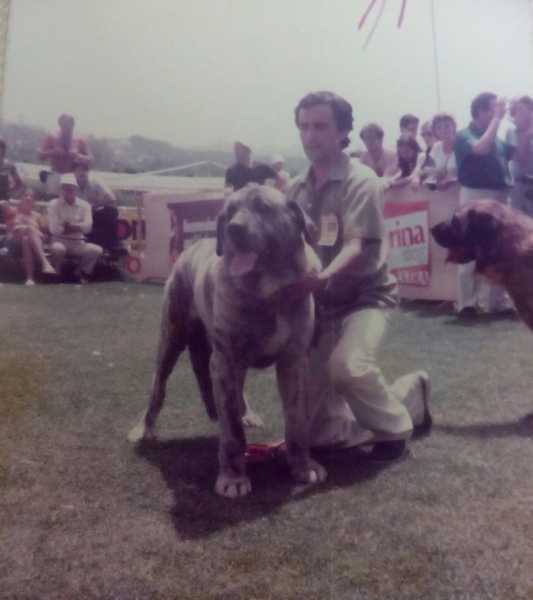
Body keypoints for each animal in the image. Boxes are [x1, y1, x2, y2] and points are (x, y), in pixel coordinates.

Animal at [130, 185, 328, 500]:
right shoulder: (227, 360)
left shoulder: (294, 360)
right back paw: (144, 428)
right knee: (158, 388)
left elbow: (297, 419)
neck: (269, 291)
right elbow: (232, 431)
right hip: (171, 340)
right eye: (230, 212)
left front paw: (303, 466)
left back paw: (247, 413)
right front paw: (233, 478)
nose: (234, 229)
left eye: (263, 208)